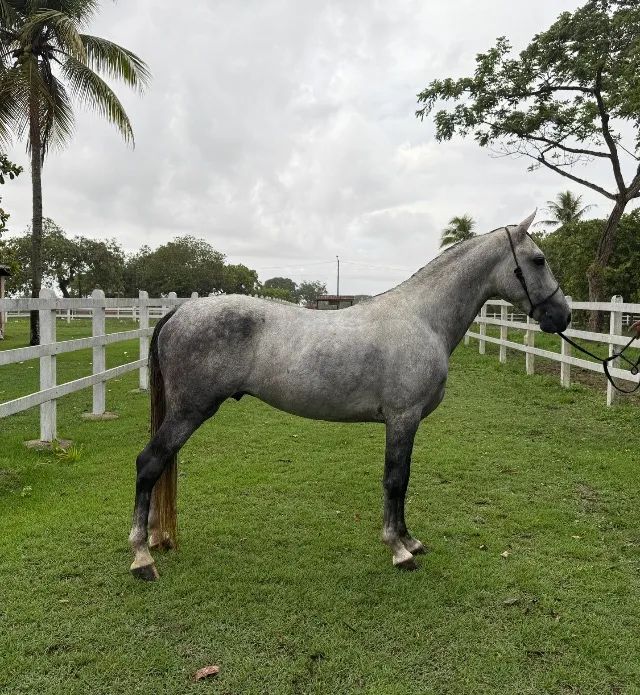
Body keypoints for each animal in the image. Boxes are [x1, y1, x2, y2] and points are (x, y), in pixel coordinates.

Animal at [129, 212, 570, 580]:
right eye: (538, 260)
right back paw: (141, 557)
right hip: (189, 411)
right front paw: (398, 550)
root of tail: (179, 313)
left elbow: (403, 480)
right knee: (149, 463)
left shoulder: (406, 422)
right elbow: (395, 479)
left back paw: (153, 541)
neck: (421, 318)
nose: (562, 316)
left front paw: (410, 540)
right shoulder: (402, 417)